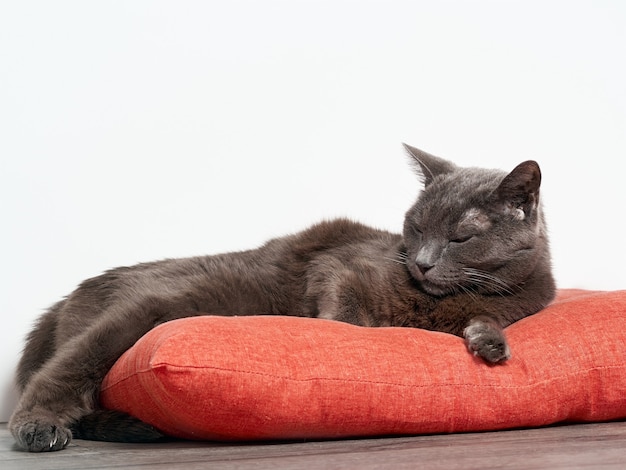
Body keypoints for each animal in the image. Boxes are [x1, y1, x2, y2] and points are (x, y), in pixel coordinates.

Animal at [9, 144, 552, 452]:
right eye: (415, 226)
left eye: (459, 237)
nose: (420, 261)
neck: (437, 300)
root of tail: (63, 302)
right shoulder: (338, 267)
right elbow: (345, 314)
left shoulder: (512, 303)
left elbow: (488, 318)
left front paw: (491, 344)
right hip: (153, 306)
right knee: (58, 372)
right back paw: (38, 427)